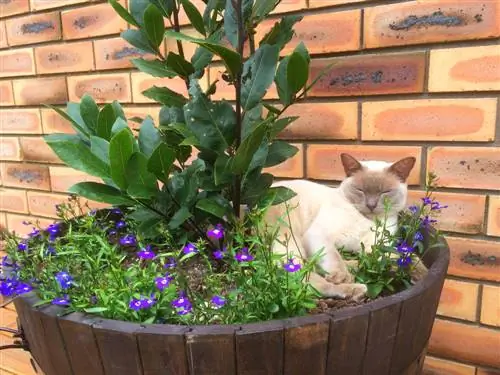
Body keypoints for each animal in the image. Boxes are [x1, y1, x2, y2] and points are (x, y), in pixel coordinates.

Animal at [266, 153, 418, 302]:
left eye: (385, 192)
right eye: (360, 190)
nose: (371, 205)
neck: (369, 221)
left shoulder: (375, 247)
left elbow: (391, 256)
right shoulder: (319, 234)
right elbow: (334, 256)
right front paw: (341, 276)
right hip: (288, 242)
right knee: (305, 280)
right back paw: (354, 288)